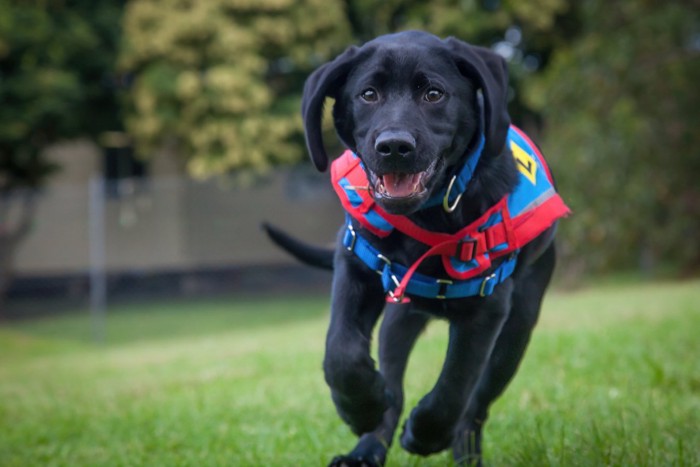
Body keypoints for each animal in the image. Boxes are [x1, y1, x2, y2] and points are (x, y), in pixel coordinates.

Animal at [264, 31, 568, 466]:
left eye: (434, 94)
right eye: (368, 94)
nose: (394, 146)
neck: (428, 217)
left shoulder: (488, 307)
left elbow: (455, 386)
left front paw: (425, 435)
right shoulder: (355, 265)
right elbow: (341, 352)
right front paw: (360, 408)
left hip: (518, 326)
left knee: (476, 404)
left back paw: (462, 451)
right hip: (400, 317)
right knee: (393, 381)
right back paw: (367, 446)